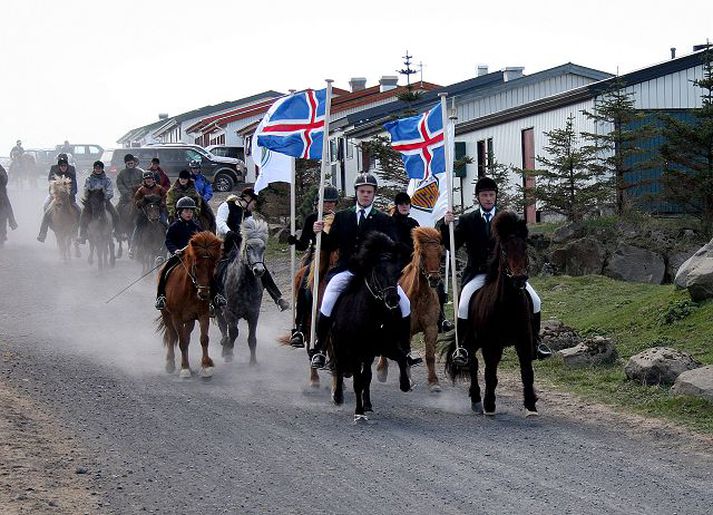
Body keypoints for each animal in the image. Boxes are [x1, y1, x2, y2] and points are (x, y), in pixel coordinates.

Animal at [157, 233, 221, 378]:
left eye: (213, 265)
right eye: (196, 265)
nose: (204, 294)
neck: (190, 291)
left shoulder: (203, 314)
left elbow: (204, 339)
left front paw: (206, 367)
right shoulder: (176, 317)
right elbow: (181, 341)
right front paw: (185, 369)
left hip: (190, 320)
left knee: (186, 336)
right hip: (167, 315)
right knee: (172, 336)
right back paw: (170, 364)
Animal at [214, 216, 270, 364]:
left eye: (263, 247)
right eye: (248, 247)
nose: (259, 270)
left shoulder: (253, 313)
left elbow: (252, 339)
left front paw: (253, 362)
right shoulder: (229, 312)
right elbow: (233, 333)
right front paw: (228, 352)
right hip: (218, 308)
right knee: (223, 327)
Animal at [330, 233, 412, 424]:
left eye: (398, 273)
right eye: (378, 271)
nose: (392, 299)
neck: (372, 316)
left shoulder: (383, 347)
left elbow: (400, 358)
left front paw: (405, 384)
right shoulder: (353, 352)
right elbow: (357, 381)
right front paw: (358, 412)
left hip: (367, 354)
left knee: (366, 375)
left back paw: (367, 403)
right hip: (339, 347)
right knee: (339, 367)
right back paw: (338, 397)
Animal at [376, 228, 442, 394]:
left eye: (440, 254)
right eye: (422, 254)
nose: (434, 279)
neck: (420, 297)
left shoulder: (431, 328)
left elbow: (430, 355)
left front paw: (434, 382)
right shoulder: (407, 329)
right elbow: (406, 353)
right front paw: (409, 381)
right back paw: (382, 370)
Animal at [442, 212, 536, 418]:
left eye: (525, 248)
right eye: (503, 250)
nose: (519, 279)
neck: (508, 305)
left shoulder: (524, 341)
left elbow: (527, 372)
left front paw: (531, 406)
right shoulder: (491, 345)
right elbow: (490, 374)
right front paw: (490, 405)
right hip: (471, 341)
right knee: (473, 364)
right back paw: (477, 400)